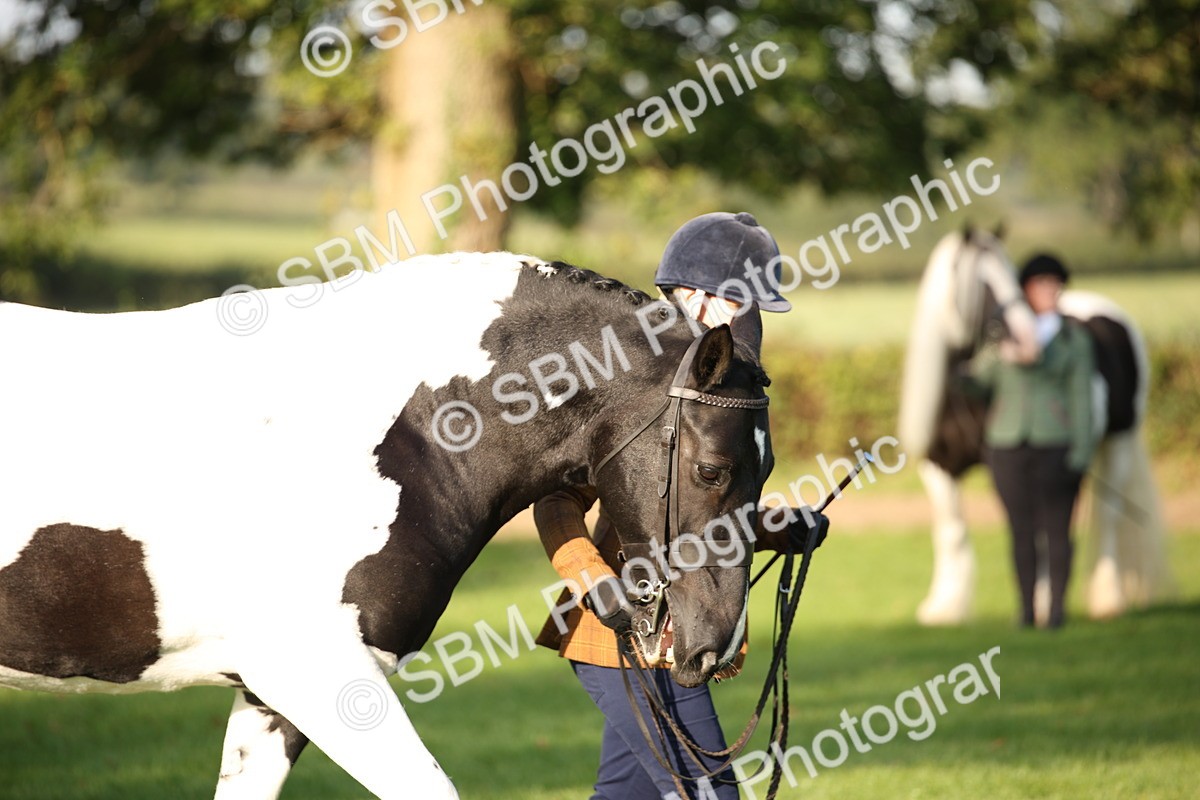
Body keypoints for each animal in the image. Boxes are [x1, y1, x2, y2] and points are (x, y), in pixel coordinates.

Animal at [898, 228, 1170, 626]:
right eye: (983, 283)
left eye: (1013, 275)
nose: (1026, 338)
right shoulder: (938, 465)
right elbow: (952, 528)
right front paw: (946, 607)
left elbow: (1034, 530)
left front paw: (1040, 605)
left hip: (1119, 439)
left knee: (1107, 516)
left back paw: (1108, 598)